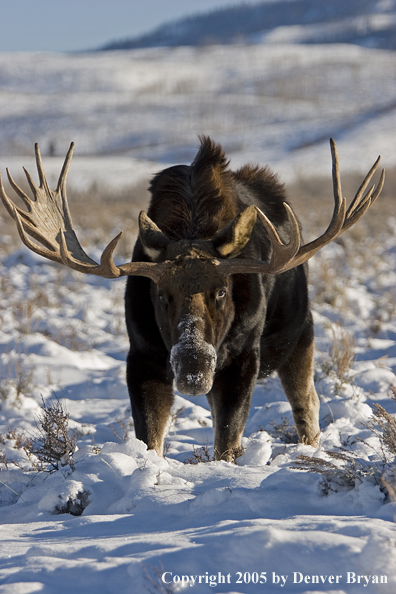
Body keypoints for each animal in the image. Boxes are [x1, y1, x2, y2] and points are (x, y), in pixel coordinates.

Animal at [0, 138, 384, 458]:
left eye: (222, 290)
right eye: (161, 295)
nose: (193, 368)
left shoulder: (244, 357)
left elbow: (227, 440)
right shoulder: (143, 355)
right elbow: (151, 438)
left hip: (300, 333)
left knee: (307, 404)